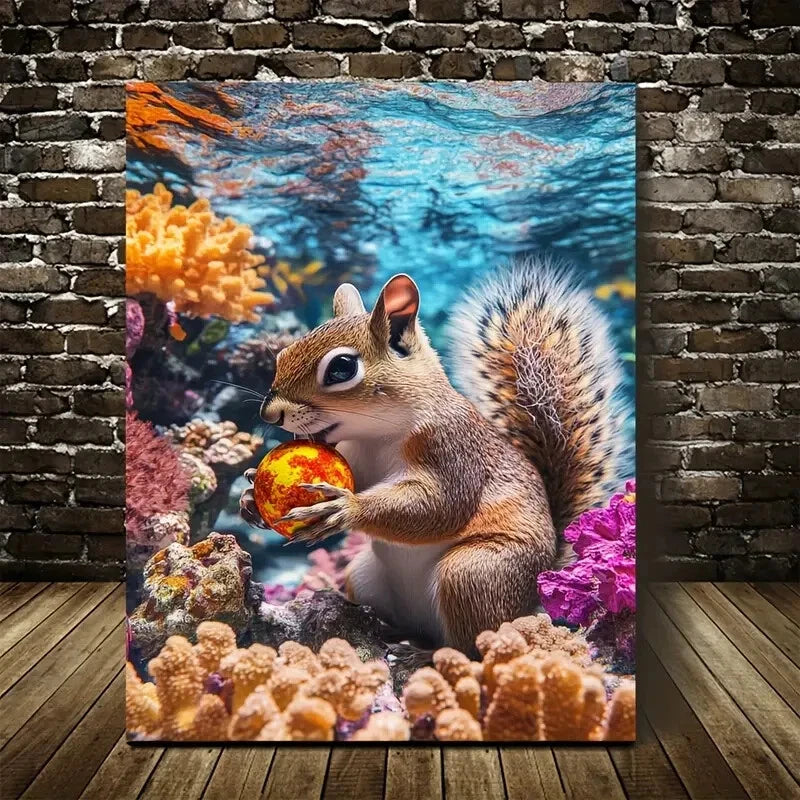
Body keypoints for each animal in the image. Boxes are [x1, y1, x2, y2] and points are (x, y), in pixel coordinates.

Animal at [240, 257, 623, 655]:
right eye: (283, 355)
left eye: (341, 368)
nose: (269, 415)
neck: (376, 434)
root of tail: (532, 598)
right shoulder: (356, 458)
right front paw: (250, 497)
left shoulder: (452, 448)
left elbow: (441, 505)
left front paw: (345, 508)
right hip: (362, 576)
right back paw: (388, 631)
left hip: (474, 574)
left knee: (469, 646)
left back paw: (418, 655)